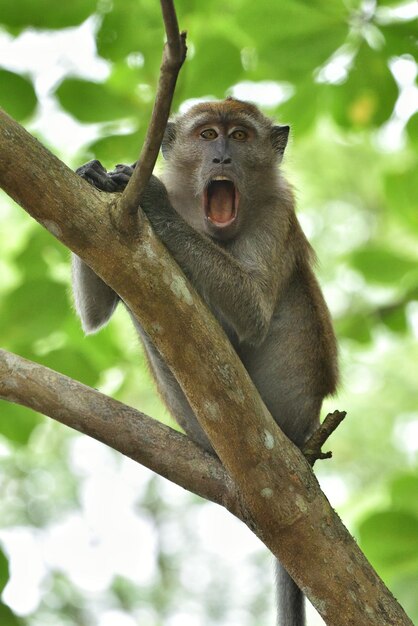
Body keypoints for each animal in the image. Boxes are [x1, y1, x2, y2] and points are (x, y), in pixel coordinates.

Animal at [72, 96, 338, 624]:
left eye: (240, 136)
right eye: (207, 135)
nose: (222, 158)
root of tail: (304, 436)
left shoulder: (277, 213)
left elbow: (253, 311)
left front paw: (151, 200)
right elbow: (95, 307)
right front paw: (95, 177)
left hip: (281, 399)